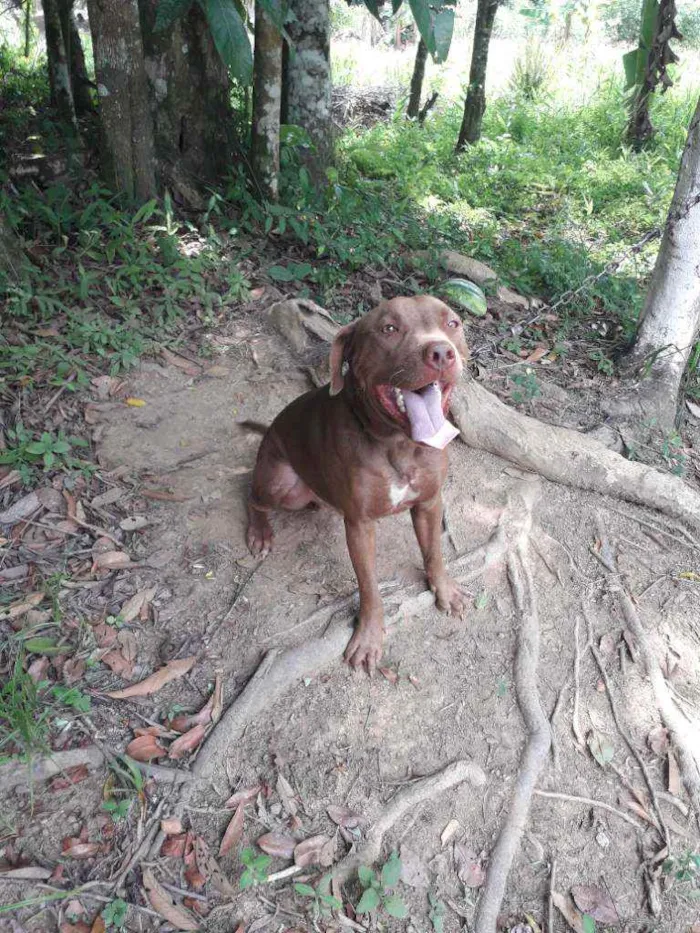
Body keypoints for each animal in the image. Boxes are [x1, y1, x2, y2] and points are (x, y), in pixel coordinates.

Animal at [246, 296, 470, 668]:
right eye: (389, 328)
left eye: (452, 323)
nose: (441, 352)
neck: (399, 444)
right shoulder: (360, 526)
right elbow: (369, 587)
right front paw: (368, 637)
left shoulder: (429, 502)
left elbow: (434, 554)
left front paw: (446, 590)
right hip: (280, 483)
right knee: (251, 495)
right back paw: (260, 532)